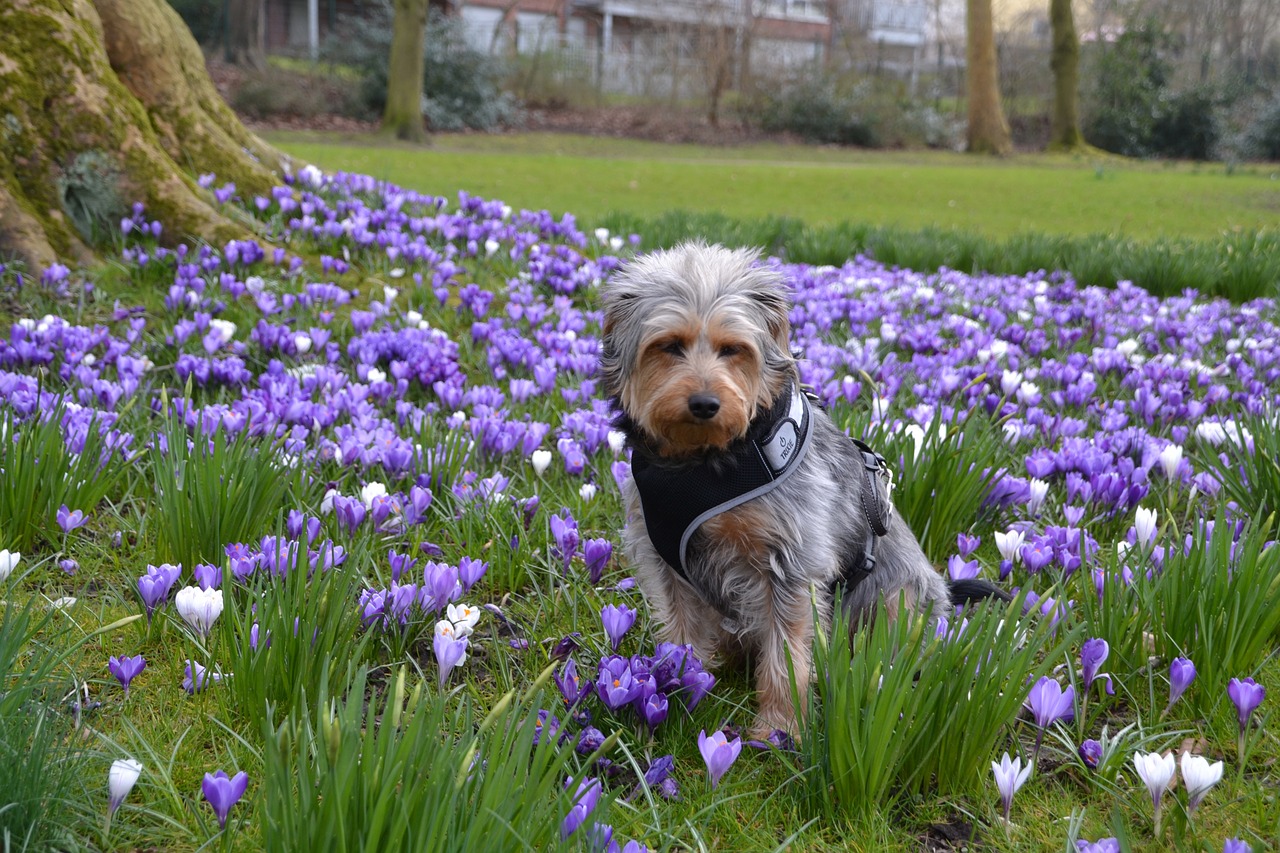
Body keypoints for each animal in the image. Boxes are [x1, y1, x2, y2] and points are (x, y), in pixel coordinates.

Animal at [599, 242, 998, 732]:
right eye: (669, 345)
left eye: (733, 349)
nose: (705, 403)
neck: (704, 463)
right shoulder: (666, 561)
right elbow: (681, 636)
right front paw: (676, 687)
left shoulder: (789, 563)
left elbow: (786, 656)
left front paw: (780, 727)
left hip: (898, 598)